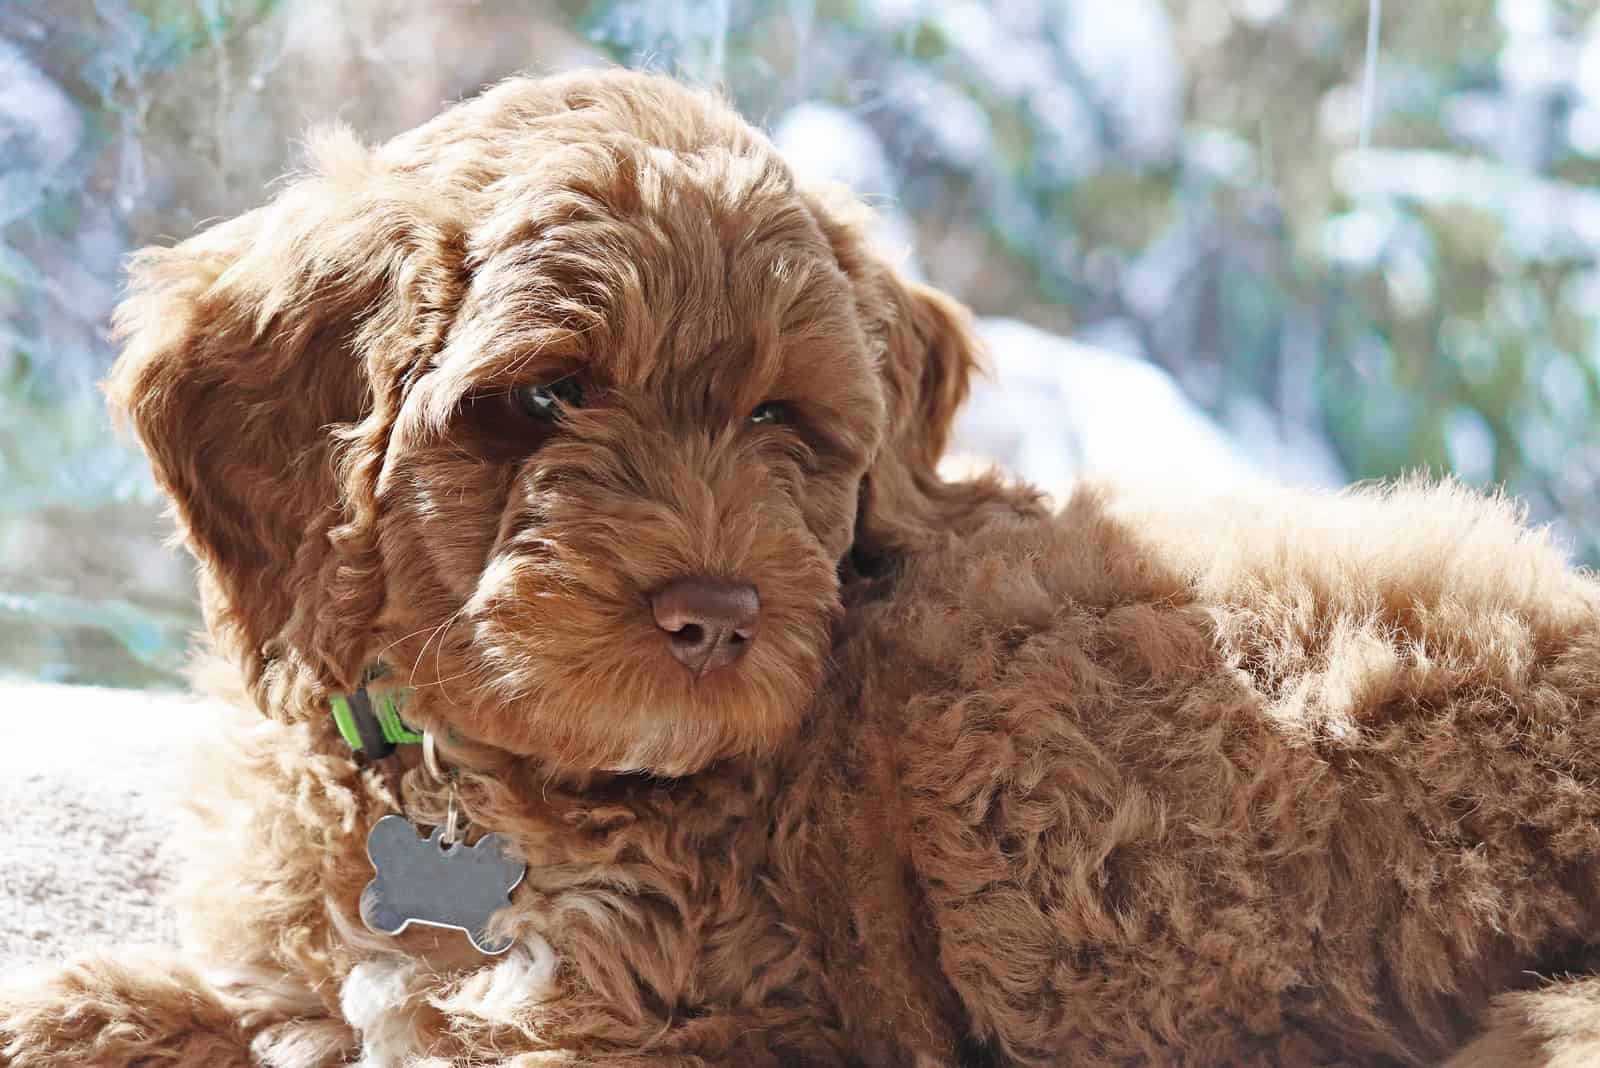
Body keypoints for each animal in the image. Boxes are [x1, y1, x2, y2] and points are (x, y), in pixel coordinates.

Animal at [3, 68, 1600, 1068]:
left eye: (781, 419)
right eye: (539, 398)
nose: (716, 614)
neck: (468, 784)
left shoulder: (713, 1024)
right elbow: (258, 1007)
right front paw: (76, 1012)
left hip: (1031, 711)